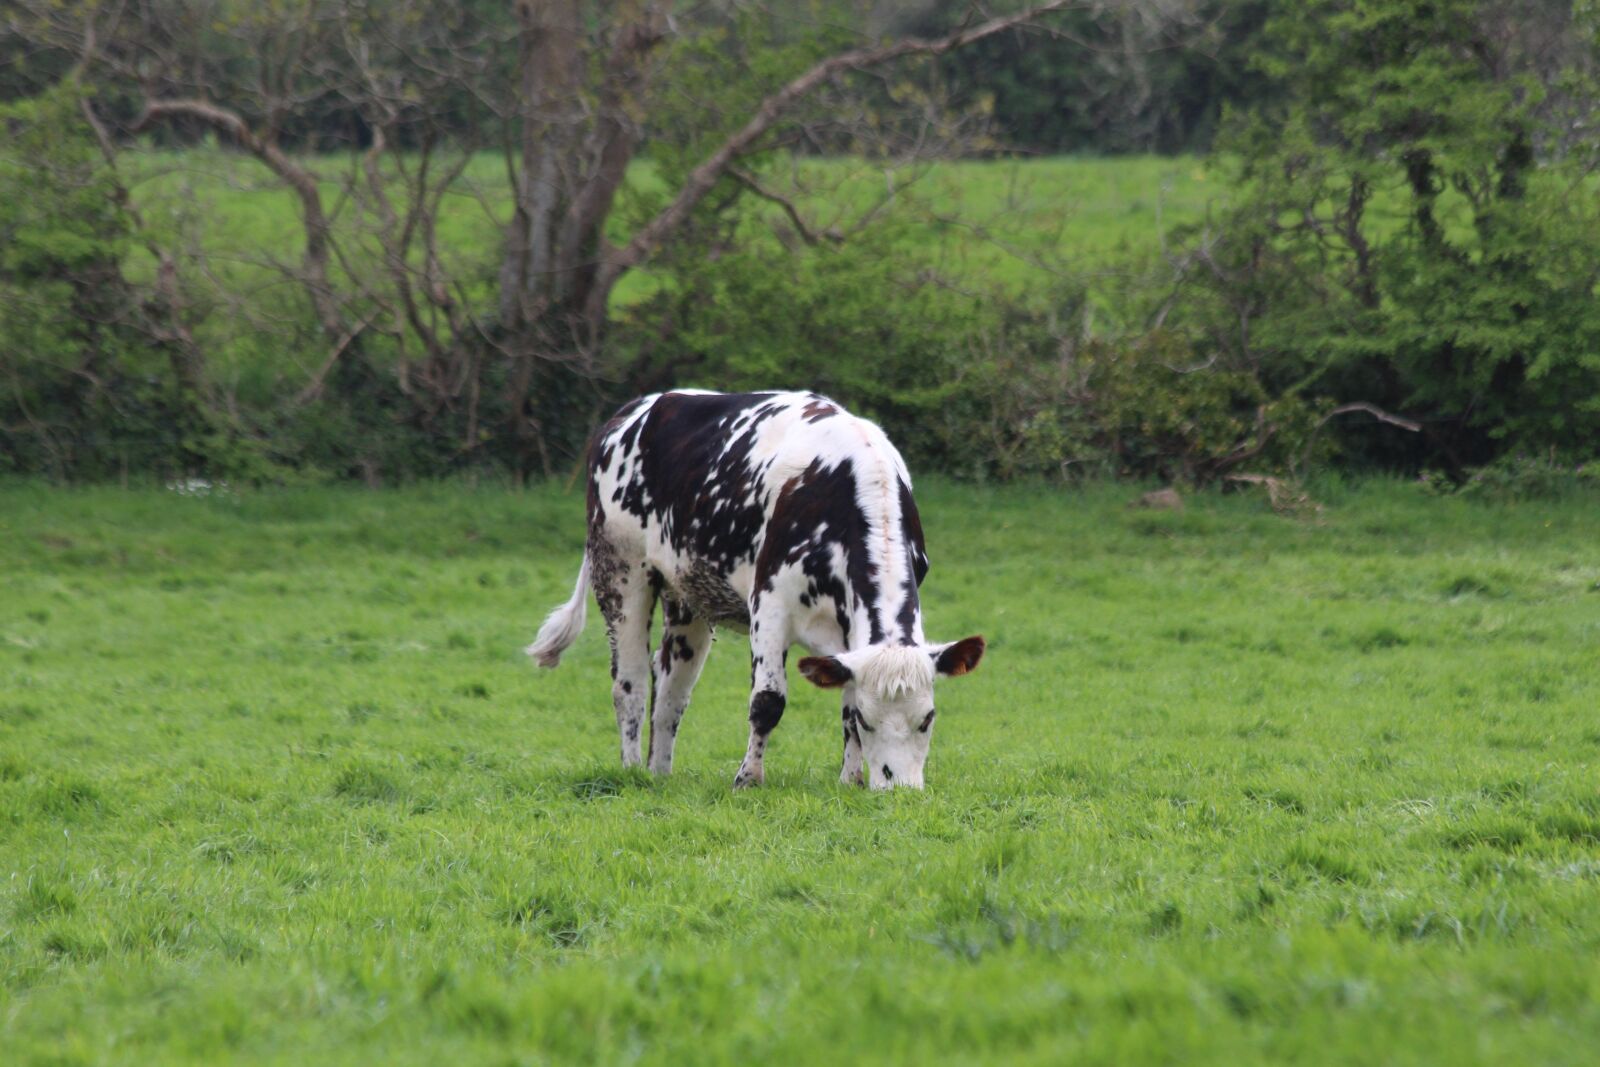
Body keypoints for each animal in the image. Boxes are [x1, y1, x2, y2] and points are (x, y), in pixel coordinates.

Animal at [524, 388, 979, 790]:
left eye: (928, 718)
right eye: (872, 721)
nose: (900, 788)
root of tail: (630, 413)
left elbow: (846, 699)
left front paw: (850, 781)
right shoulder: (770, 603)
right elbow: (768, 702)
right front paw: (748, 779)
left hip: (686, 596)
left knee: (671, 688)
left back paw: (659, 774)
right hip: (620, 569)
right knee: (630, 681)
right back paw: (633, 770)